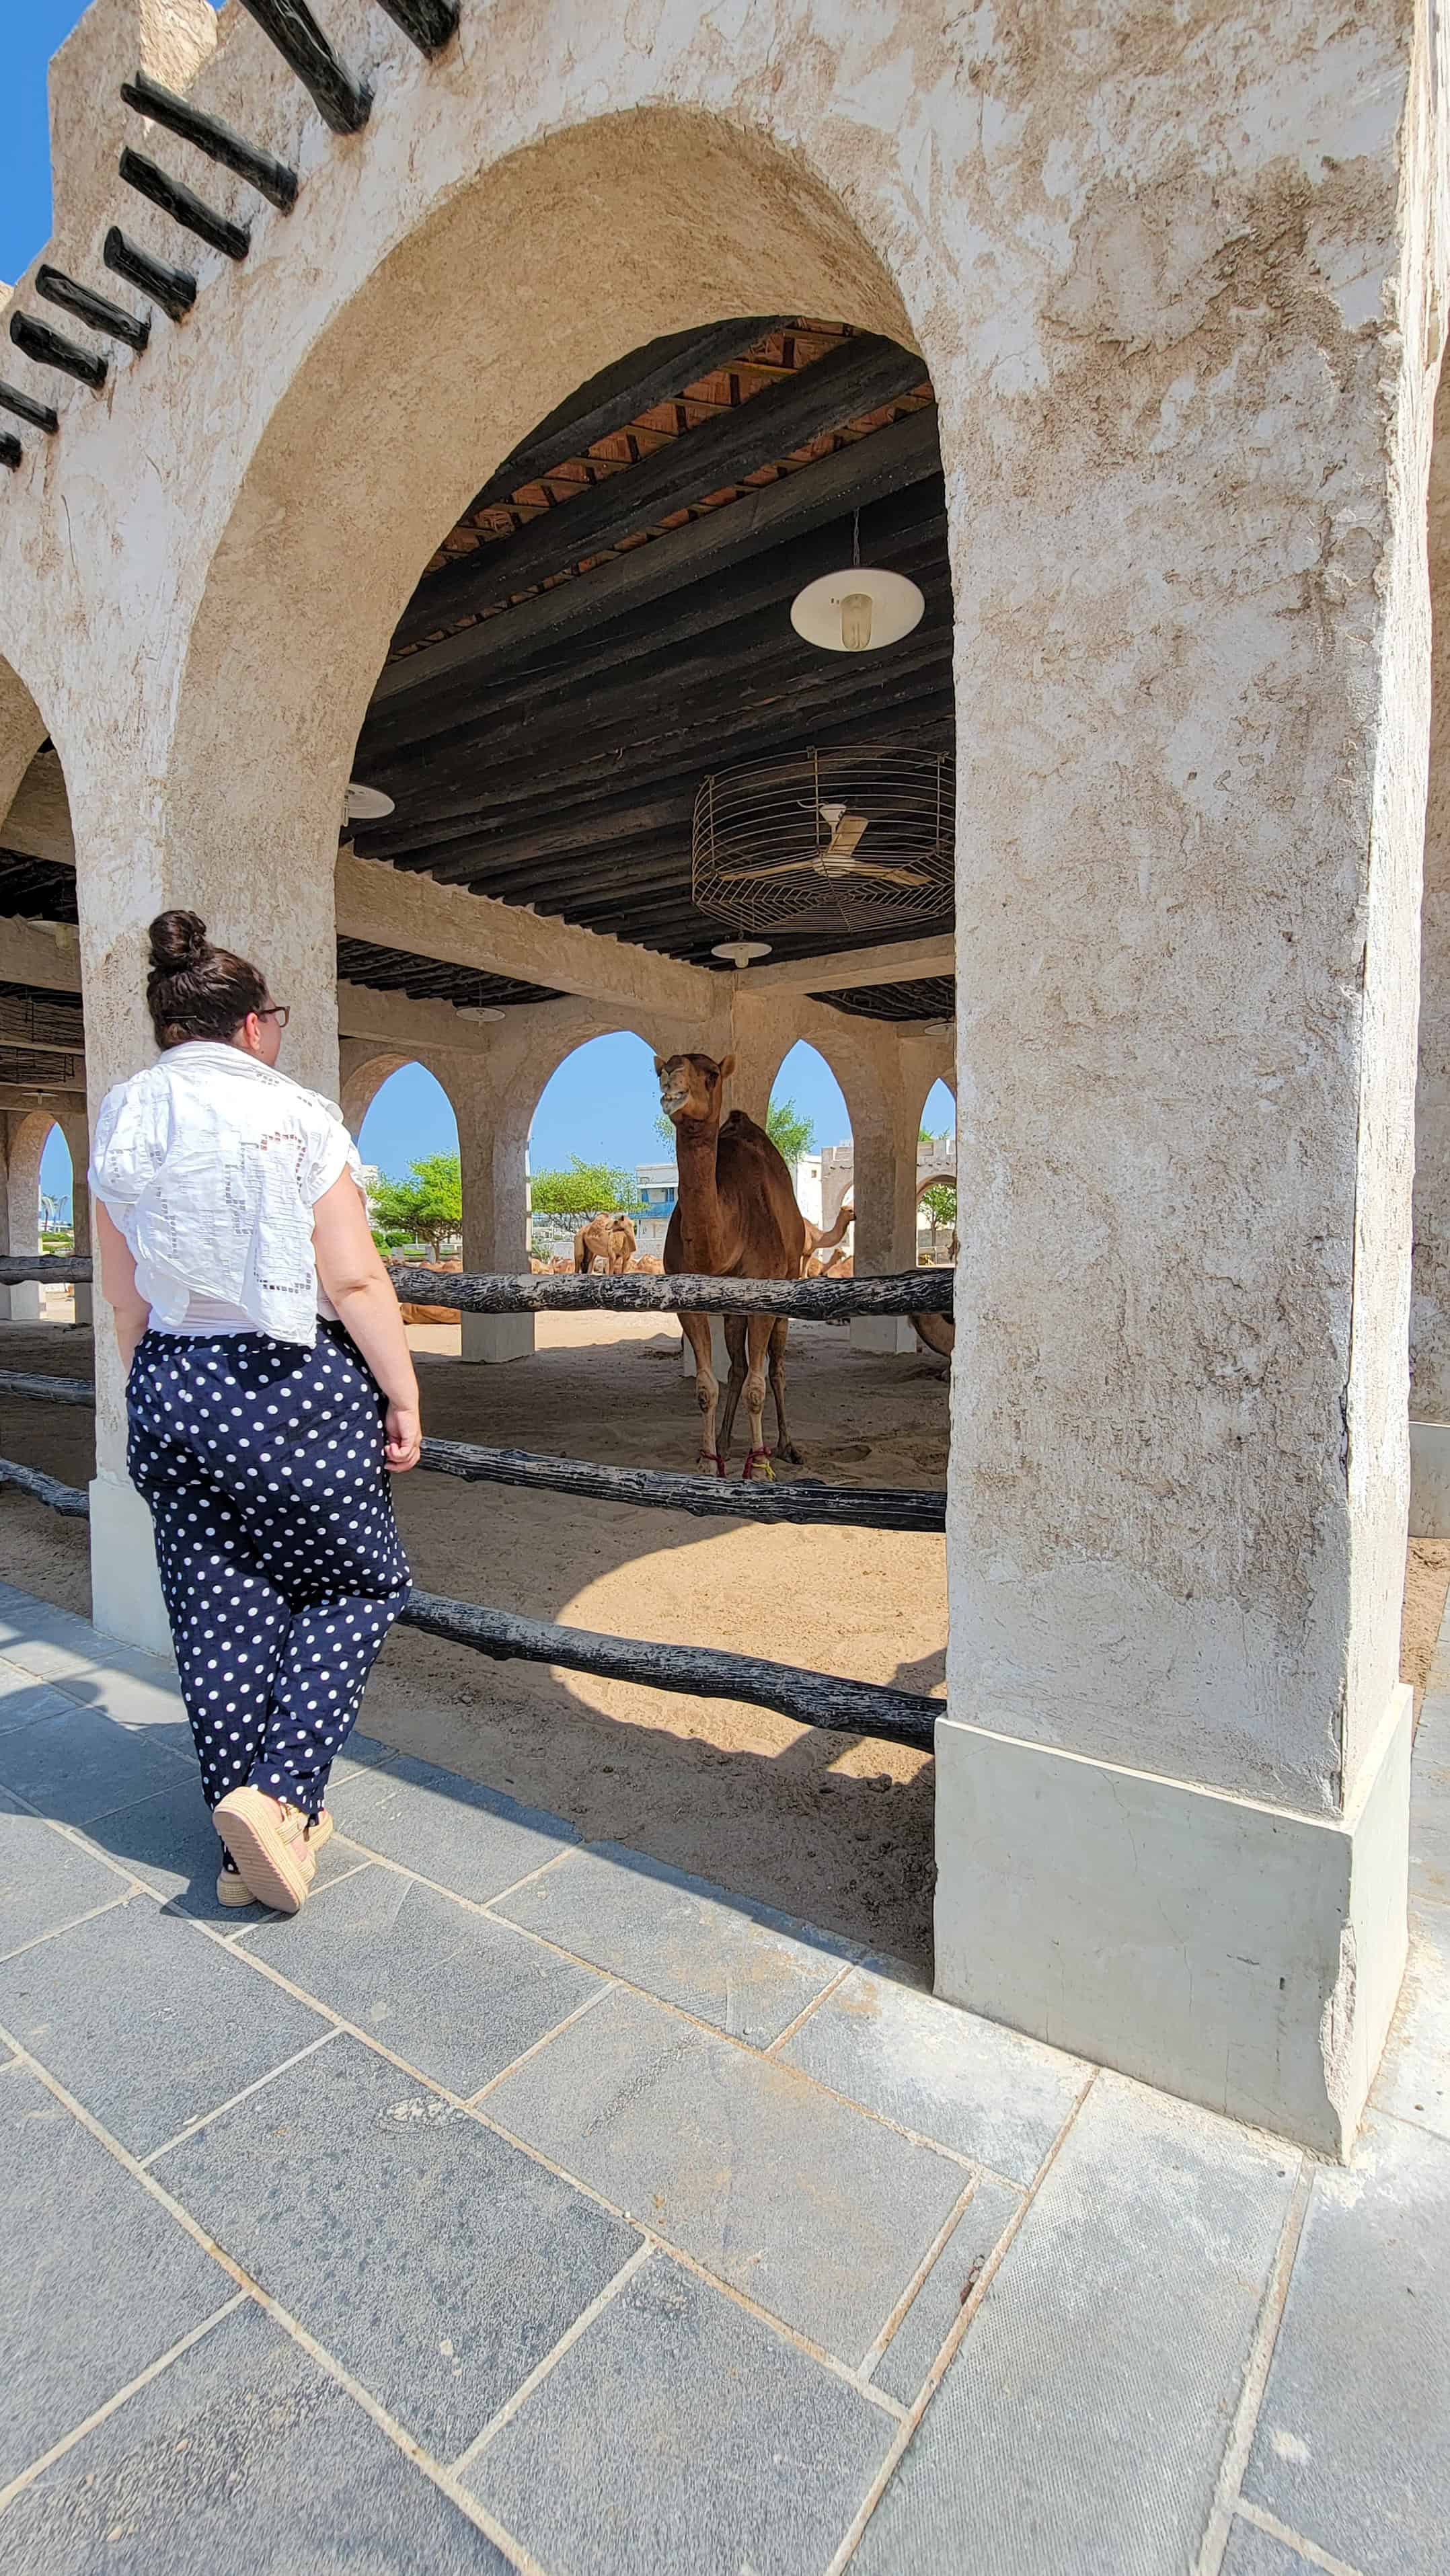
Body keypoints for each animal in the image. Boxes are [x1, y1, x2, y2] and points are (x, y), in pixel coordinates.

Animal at [654, 1046, 803, 1483]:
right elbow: (707, 1386)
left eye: (712, 1074)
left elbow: (758, 1385)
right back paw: (722, 1444)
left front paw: (761, 1466)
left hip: (790, 1278)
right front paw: (707, 1462)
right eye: (662, 1069)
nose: (671, 1079)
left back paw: (786, 1446)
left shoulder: (764, 1295)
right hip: (734, 1308)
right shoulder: (690, 1301)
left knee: (776, 1368)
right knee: (737, 1366)